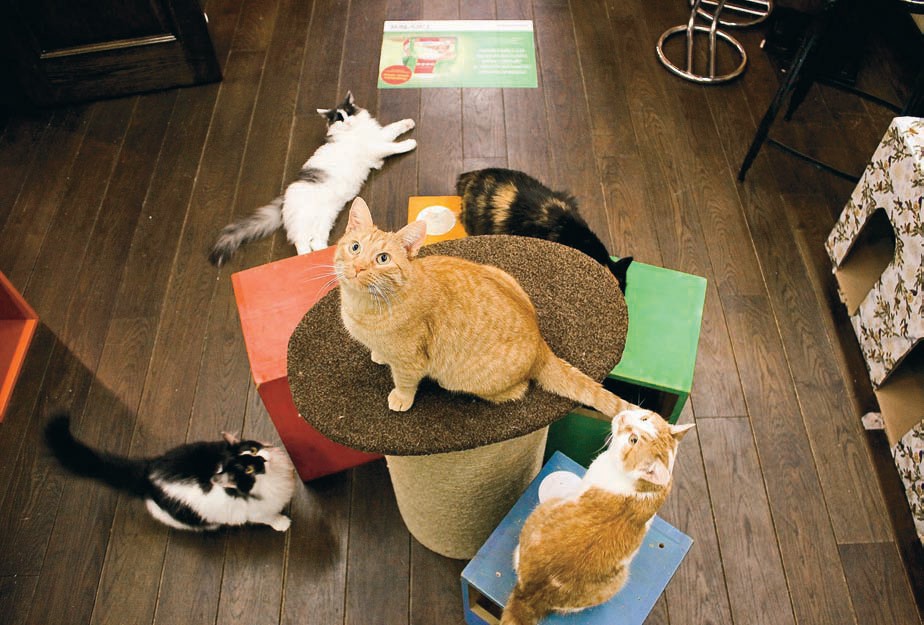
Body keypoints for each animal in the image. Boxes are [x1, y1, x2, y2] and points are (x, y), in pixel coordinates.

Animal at [44, 413, 297, 531]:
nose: (263, 457)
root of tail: (148, 473)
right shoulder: (254, 513)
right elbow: (268, 517)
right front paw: (282, 522)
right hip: (181, 518)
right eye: (249, 469)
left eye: (253, 450)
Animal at [208, 91, 417, 267]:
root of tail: (283, 200)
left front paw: (409, 123)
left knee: (315, 242)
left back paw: (325, 254)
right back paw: (310, 259)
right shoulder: (376, 146)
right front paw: (411, 143)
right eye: (339, 119)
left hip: (324, 220)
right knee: (301, 244)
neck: (354, 132)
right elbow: (394, 146)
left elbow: (393, 128)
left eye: (349, 113)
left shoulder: (378, 136)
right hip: (305, 221)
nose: (348, 123)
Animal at [334, 197, 632, 416]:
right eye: (355, 247)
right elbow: (380, 351)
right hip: (503, 274)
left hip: (457, 379)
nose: (358, 268)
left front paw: (401, 397)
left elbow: (406, 381)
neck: (361, 307)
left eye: (383, 259)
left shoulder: (412, 362)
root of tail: (540, 343)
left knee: (519, 390)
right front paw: (379, 355)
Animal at [502, 408, 694, 625]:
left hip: (543, 512)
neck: (646, 487)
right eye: (644, 418)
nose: (623, 417)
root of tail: (532, 596)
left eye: (633, 440)